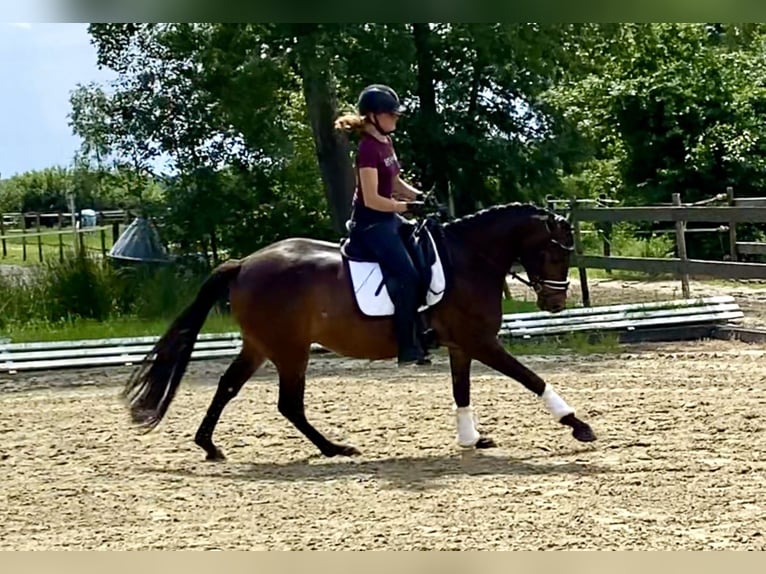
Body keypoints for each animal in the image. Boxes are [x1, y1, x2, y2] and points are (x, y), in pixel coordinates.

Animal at [123, 204, 596, 464]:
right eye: (555, 252)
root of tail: (244, 264)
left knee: (228, 386)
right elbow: (531, 378)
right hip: (291, 350)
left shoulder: (462, 346)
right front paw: (578, 425)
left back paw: (209, 445)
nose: (555, 304)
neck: (469, 259)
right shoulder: (481, 342)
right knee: (288, 404)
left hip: (261, 346)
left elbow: (461, 391)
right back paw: (335, 449)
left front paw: (472, 439)